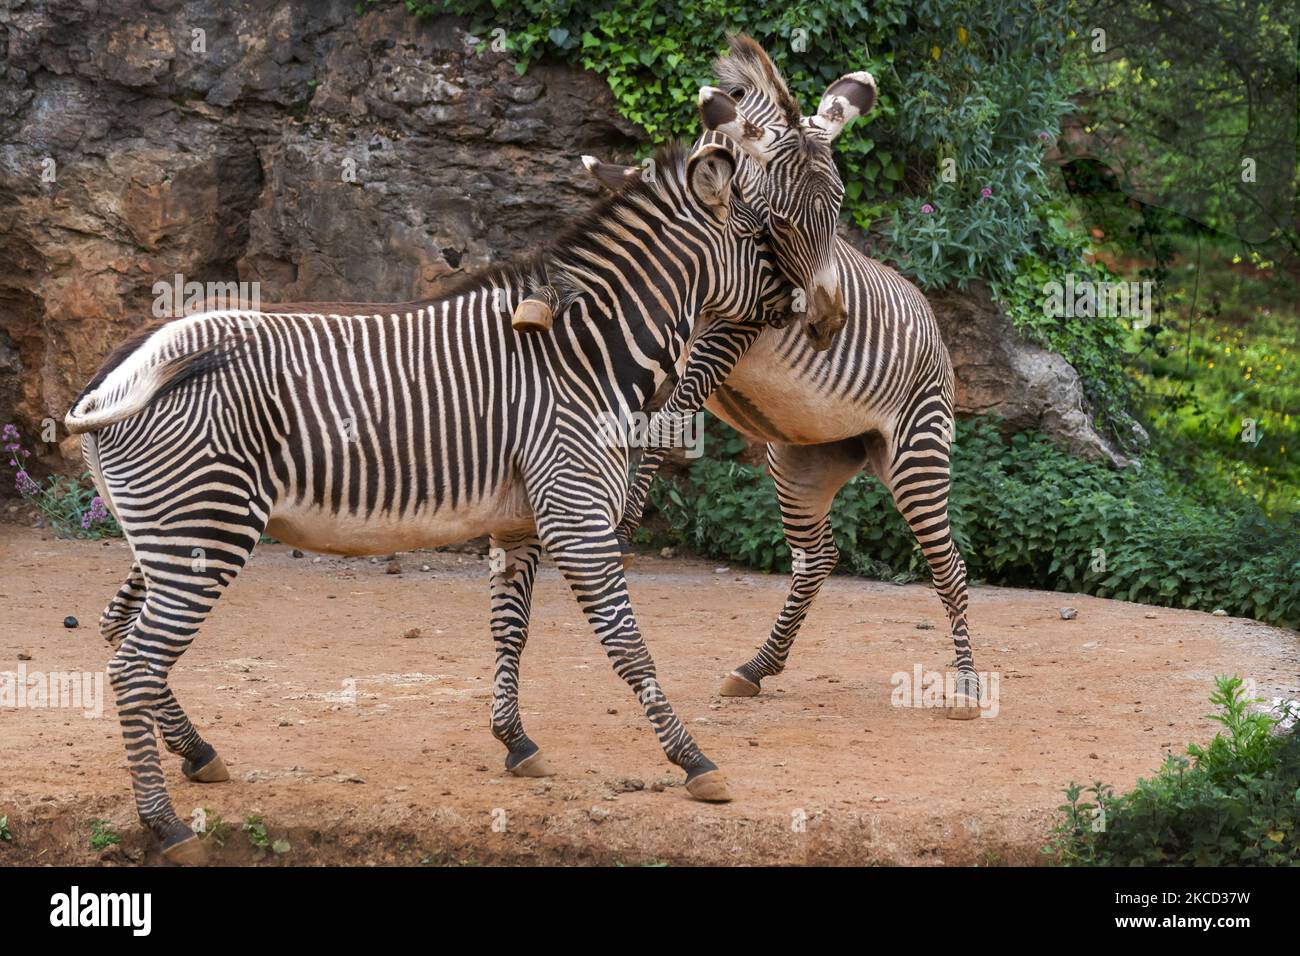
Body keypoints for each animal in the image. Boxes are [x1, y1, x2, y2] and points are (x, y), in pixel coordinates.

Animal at [63, 130, 821, 863]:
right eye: (767, 233)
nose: (822, 317)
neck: (585, 353)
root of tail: (120, 368)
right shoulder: (575, 512)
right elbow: (627, 643)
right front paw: (693, 762)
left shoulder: (520, 522)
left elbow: (510, 630)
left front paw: (516, 742)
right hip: (204, 533)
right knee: (133, 663)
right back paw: (166, 825)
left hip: (170, 532)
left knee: (115, 628)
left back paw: (198, 755)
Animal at [592, 37, 982, 717]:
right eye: (777, 219)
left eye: (841, 206)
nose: (828, 321)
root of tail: (932, 320)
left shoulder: (732, 334)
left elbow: (665, 424)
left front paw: (622, 523)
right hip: (802, 463)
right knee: (817, 557)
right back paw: (756, 667)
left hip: (917, 453)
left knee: (949, 565)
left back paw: (964, 685)